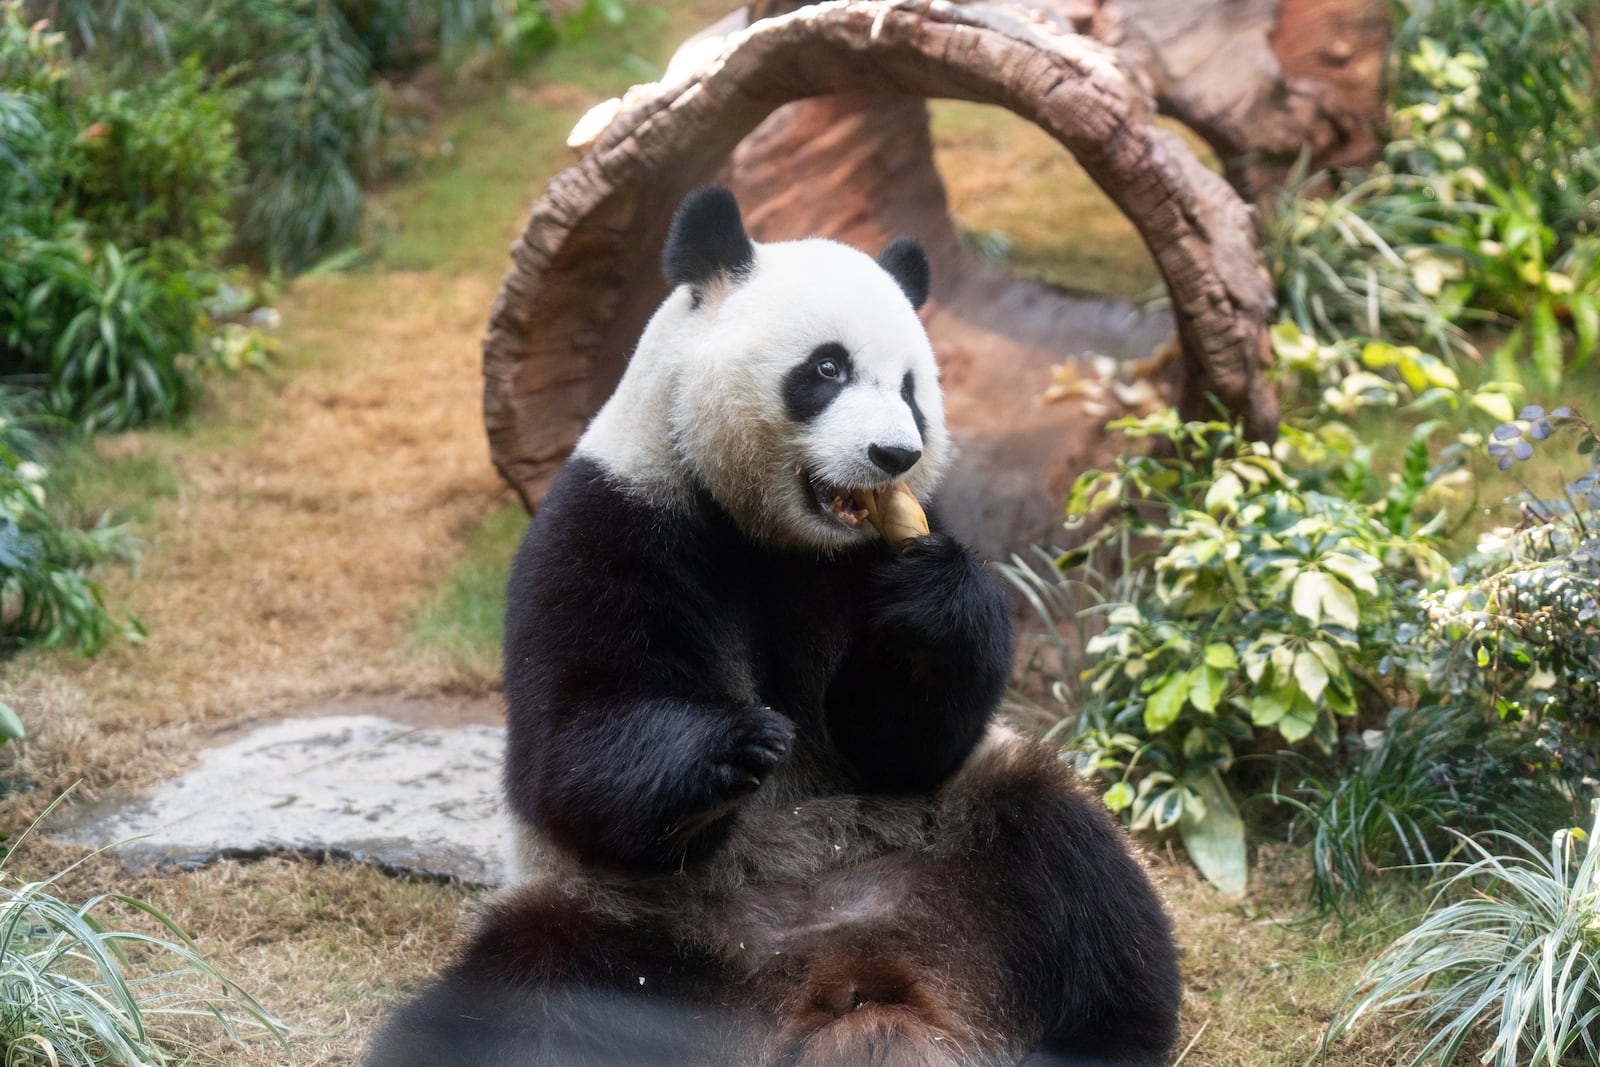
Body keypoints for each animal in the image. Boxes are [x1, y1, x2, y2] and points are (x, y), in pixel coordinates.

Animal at [368, 187, 1184, 1067]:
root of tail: (848, 984)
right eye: (826, 368)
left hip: (957, 847)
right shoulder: (613, 519)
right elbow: (577, 743)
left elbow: (901, 743)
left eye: (911, 388)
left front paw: (933, 596)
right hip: (631, 924)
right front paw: (737, 742)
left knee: (1079, 875)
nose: (894, 454)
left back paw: (1091, 1034)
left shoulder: (867, 563)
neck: (777, 534)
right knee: (516, 1003)